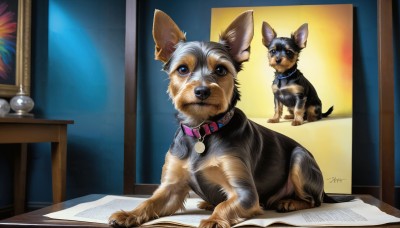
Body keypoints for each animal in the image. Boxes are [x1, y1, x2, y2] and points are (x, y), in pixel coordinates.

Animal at [108, 9, 332, 227]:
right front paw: (127, 214)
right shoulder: (171, 187)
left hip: (300, 159)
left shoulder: (246, 193)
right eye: (182, 69)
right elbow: (149, 202)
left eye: (221, 69)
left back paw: (288, 202)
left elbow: (225, 205)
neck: (202, 128)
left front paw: (214, 220)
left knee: (314, 200)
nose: (202, 91)